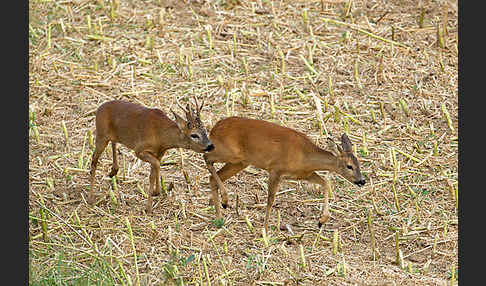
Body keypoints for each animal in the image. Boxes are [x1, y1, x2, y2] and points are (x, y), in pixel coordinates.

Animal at [203, 116, 366, 235]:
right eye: (349, 166)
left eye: (359, 163)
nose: (362, 181)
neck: (304, 155)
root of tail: (214, 129)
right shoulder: (276, 169)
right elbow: (270, 200)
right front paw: (265, 230)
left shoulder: (304, 174)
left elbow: (325, 183)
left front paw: (322, 221)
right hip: (229, 153)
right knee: (207, 157)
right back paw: (224, 201)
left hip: (240, 162)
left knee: (213, 177)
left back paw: (219, 215)